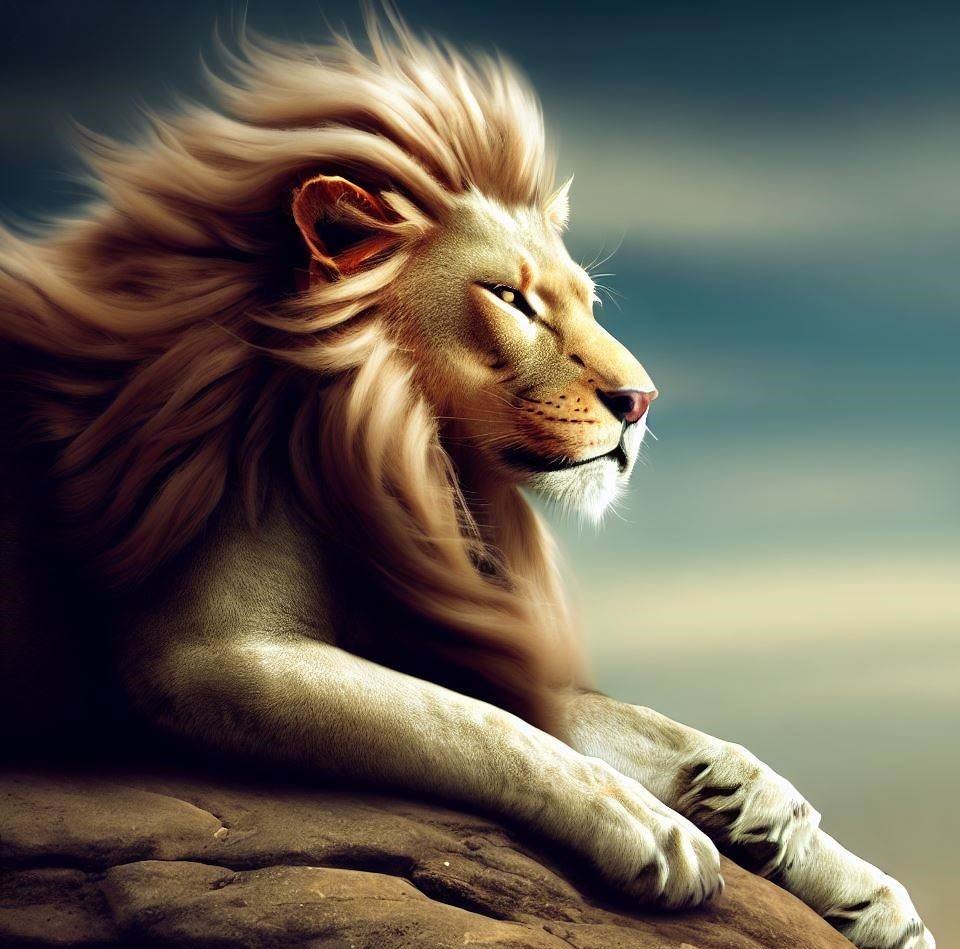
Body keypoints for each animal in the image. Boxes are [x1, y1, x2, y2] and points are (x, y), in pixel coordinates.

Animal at [0, 15, 933, 949]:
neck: (397, 458)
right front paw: (649, 826)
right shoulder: (208, 654)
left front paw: (825, 854)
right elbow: (474, 721)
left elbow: (623, 720)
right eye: (511, 300)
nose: (640, 402)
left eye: (587, 302)